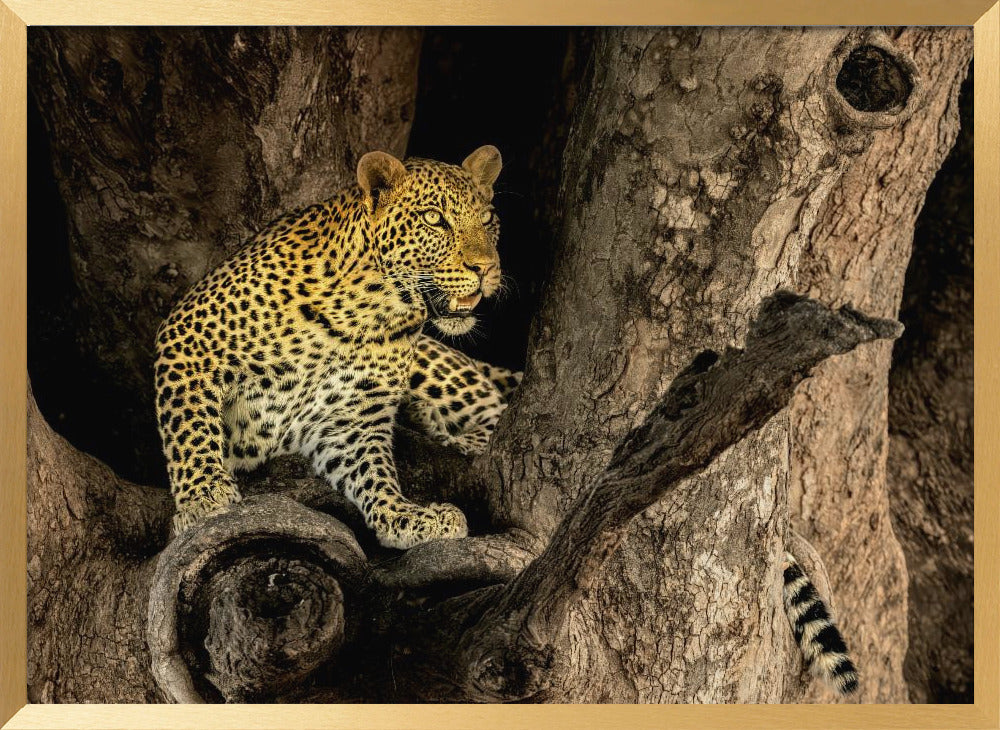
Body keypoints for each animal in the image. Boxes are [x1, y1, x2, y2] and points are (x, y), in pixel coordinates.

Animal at [153, 145, 521, 550]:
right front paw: (203, 496)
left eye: (487, 219)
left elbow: (374, 473)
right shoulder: (189, 337)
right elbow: (190, 426)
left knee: (493, 413)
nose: (486, 268)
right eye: (433, 219)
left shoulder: (350, 417)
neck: (368, 310)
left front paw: (405, 516)